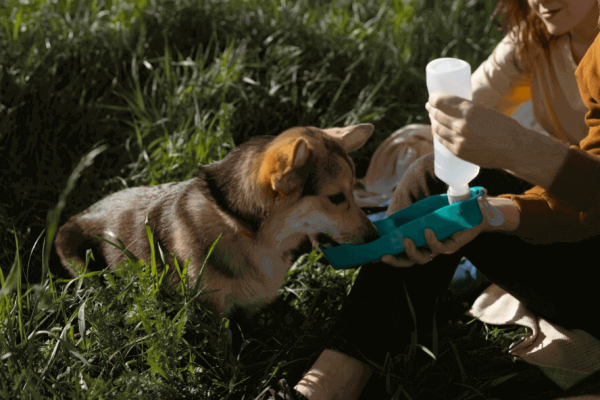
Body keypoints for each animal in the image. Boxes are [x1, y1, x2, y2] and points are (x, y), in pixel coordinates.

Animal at [54, 123, 378, 318]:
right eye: (336, 197)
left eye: (354, 190)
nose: (375, 237)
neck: (250, 233)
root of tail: (80, 212)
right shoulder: (211, 309)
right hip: (79, 259)